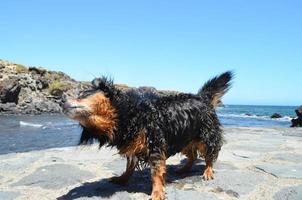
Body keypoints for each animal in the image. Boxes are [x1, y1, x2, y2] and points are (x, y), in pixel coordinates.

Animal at [63, 71, 234, 199]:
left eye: (83, 94)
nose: (61, 99)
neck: (127, 115)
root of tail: (202, 98)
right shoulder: (133, 146)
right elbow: (129, 166)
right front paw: (122, 178)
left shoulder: (155, 145)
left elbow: (156, 173)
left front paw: (157, 193)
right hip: (183, 138)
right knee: (192, 155)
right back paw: (184, 169)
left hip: (206, 137)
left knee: (209, 155)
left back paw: (208, 171)